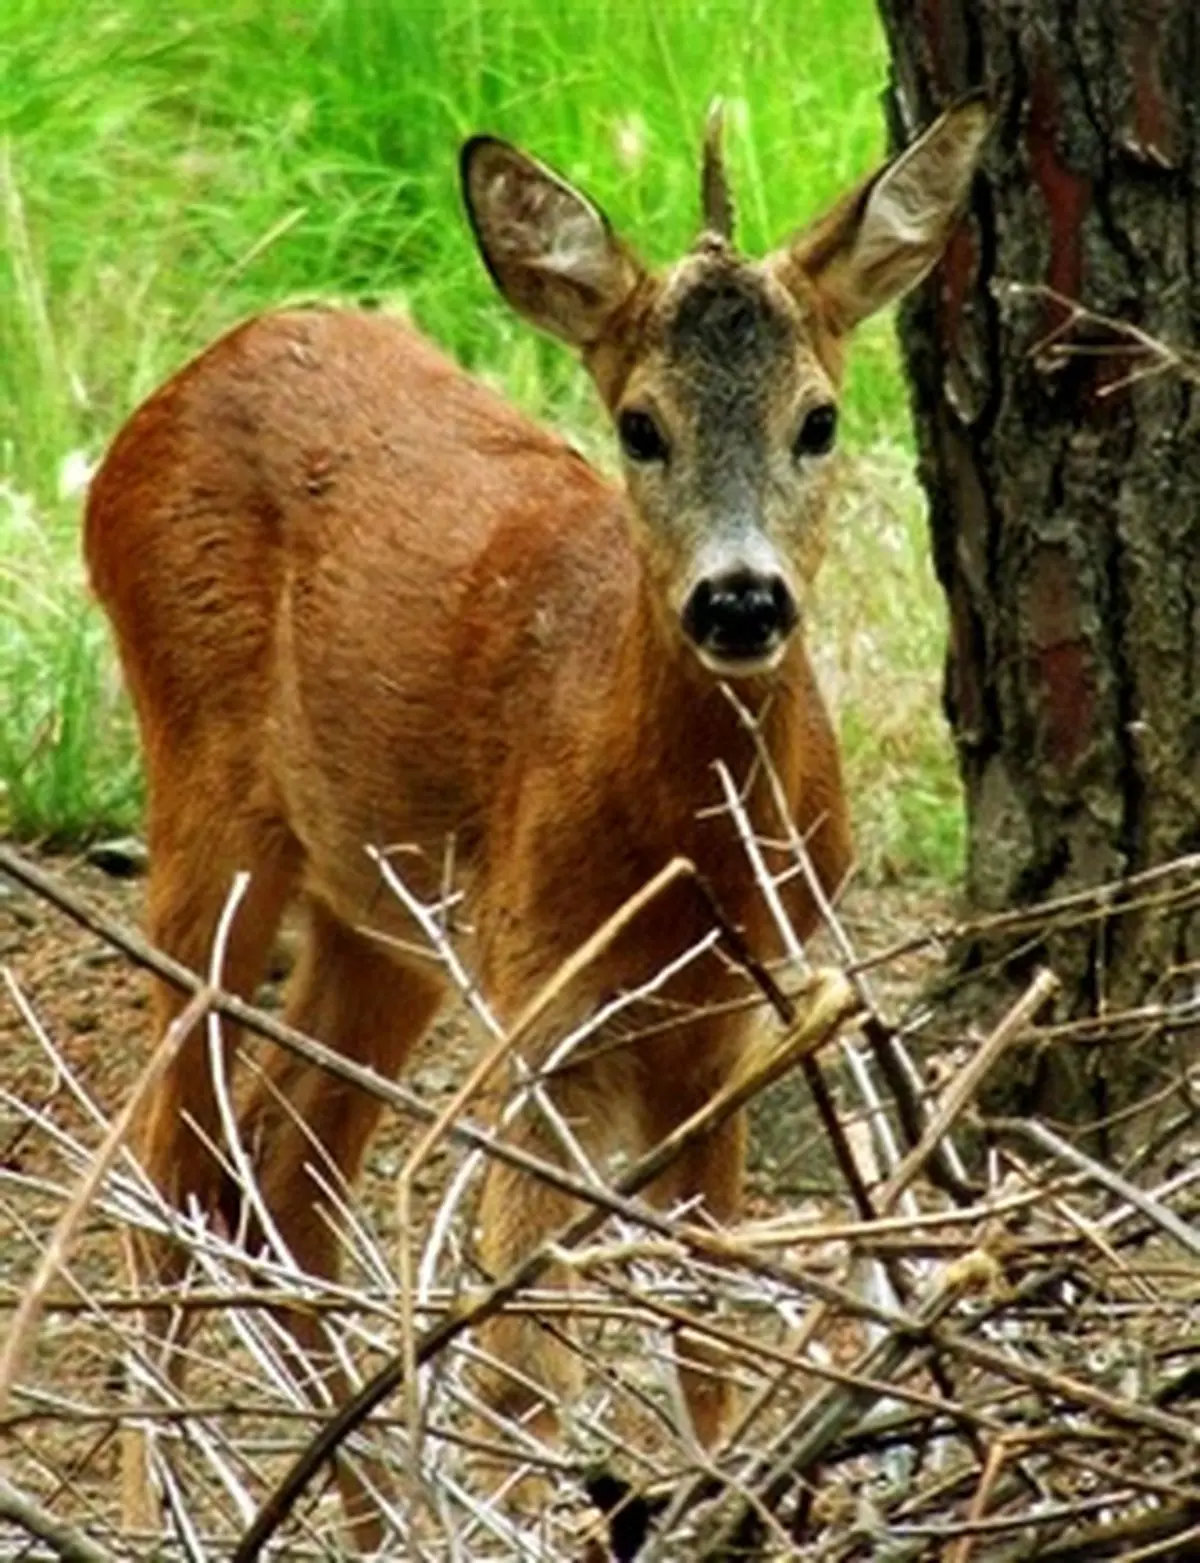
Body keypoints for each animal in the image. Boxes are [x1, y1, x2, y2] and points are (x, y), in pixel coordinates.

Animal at [82, 100, 987, 1550]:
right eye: (639, 426)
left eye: (820, 419)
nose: (741, 601)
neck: (686, 850)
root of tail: (159, 406)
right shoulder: (545, 1004)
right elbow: (523, 1358)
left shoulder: (741, 1020)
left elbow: (708, 1318)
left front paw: (726, 1491)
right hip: (208, 805)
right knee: (166, 1159)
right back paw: (163, 1499)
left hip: (380, 912)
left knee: (281, 1167)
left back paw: (365, 1506)